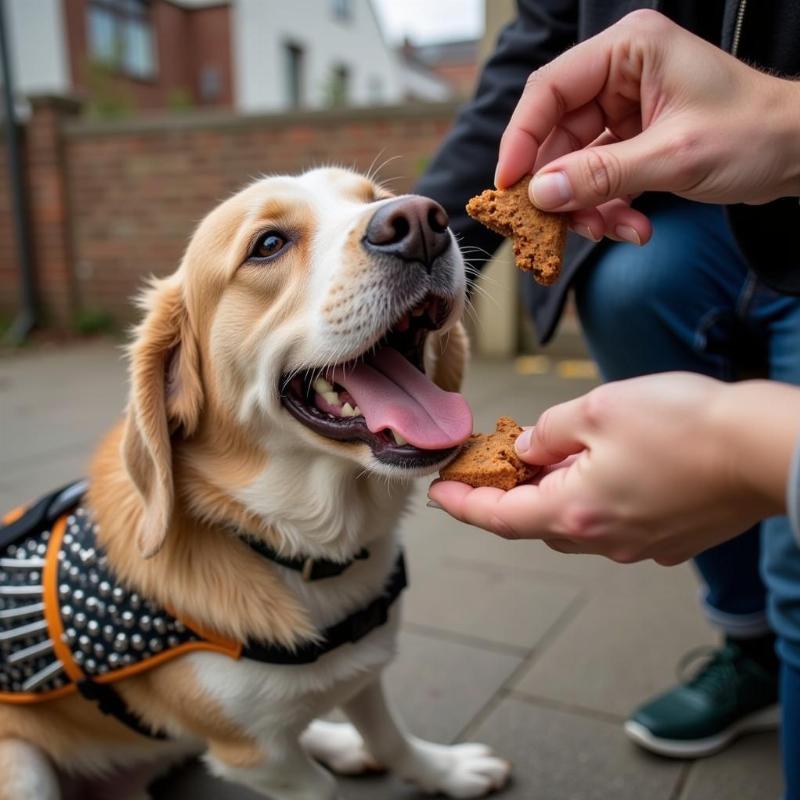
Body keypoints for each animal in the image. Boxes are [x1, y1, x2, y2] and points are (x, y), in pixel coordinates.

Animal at [0, 166, 512, 796]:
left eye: (377, 199)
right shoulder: (261, 758)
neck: (301, 548)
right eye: (268, 244)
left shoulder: (363, 668)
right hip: (22, 765)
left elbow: (390, 737)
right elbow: (318, 783)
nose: (420, 220)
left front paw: (444, 770)